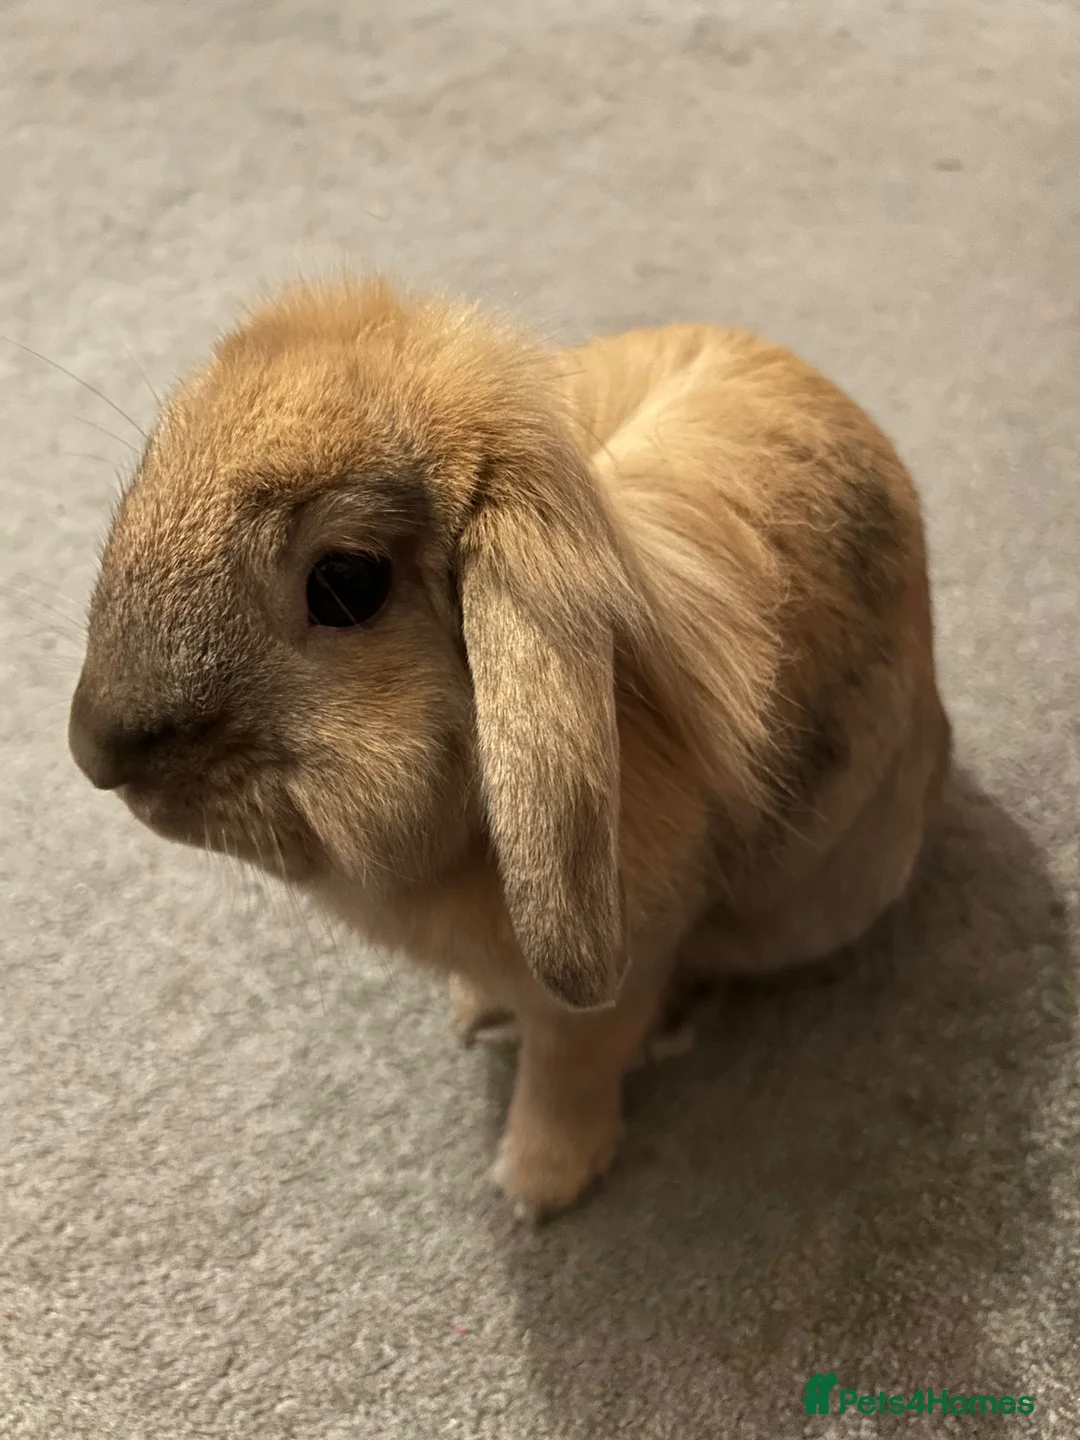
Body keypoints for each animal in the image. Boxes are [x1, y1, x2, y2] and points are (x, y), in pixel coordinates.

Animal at [68, 278, 950, 1217]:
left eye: (346, 584)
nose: (93, 751)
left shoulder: (611, 985)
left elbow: (567, 1073)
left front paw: (535, 1188)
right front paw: (475, 1016)